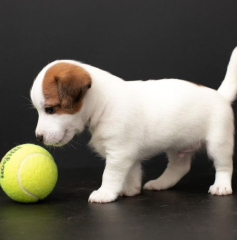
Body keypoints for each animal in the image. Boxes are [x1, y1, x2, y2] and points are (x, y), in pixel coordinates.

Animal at [30, 47, 237, 202]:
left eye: (50, 109)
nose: (38, 137)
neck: (104, 104)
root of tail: (220, 96)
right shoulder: (129, 154)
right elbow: (132, 171)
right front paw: (130, 189)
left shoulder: (119, 153)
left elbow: (110, 174)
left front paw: (105, 193)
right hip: (178, 146)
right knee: (179, 167)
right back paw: (160, 183)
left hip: (219, 142)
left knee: (224, 165)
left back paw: (221, 186)